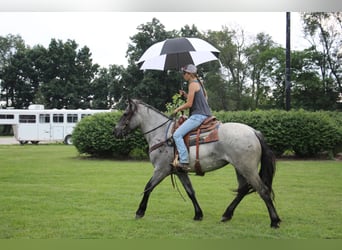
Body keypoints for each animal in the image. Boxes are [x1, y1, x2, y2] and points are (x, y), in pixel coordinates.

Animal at [113, 98, 282, 228]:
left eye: (125, 113)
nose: (115, 131)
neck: (162, 134)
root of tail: (254, 132)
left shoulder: (161, 170)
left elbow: (148, 188)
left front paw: (140, 212)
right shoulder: (179, 171)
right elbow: (190, 191)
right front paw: (198, 214)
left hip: (248, 169)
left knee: (263, 190)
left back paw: (274, 221)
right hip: (239, 168)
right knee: (243, 190)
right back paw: (227, 215)